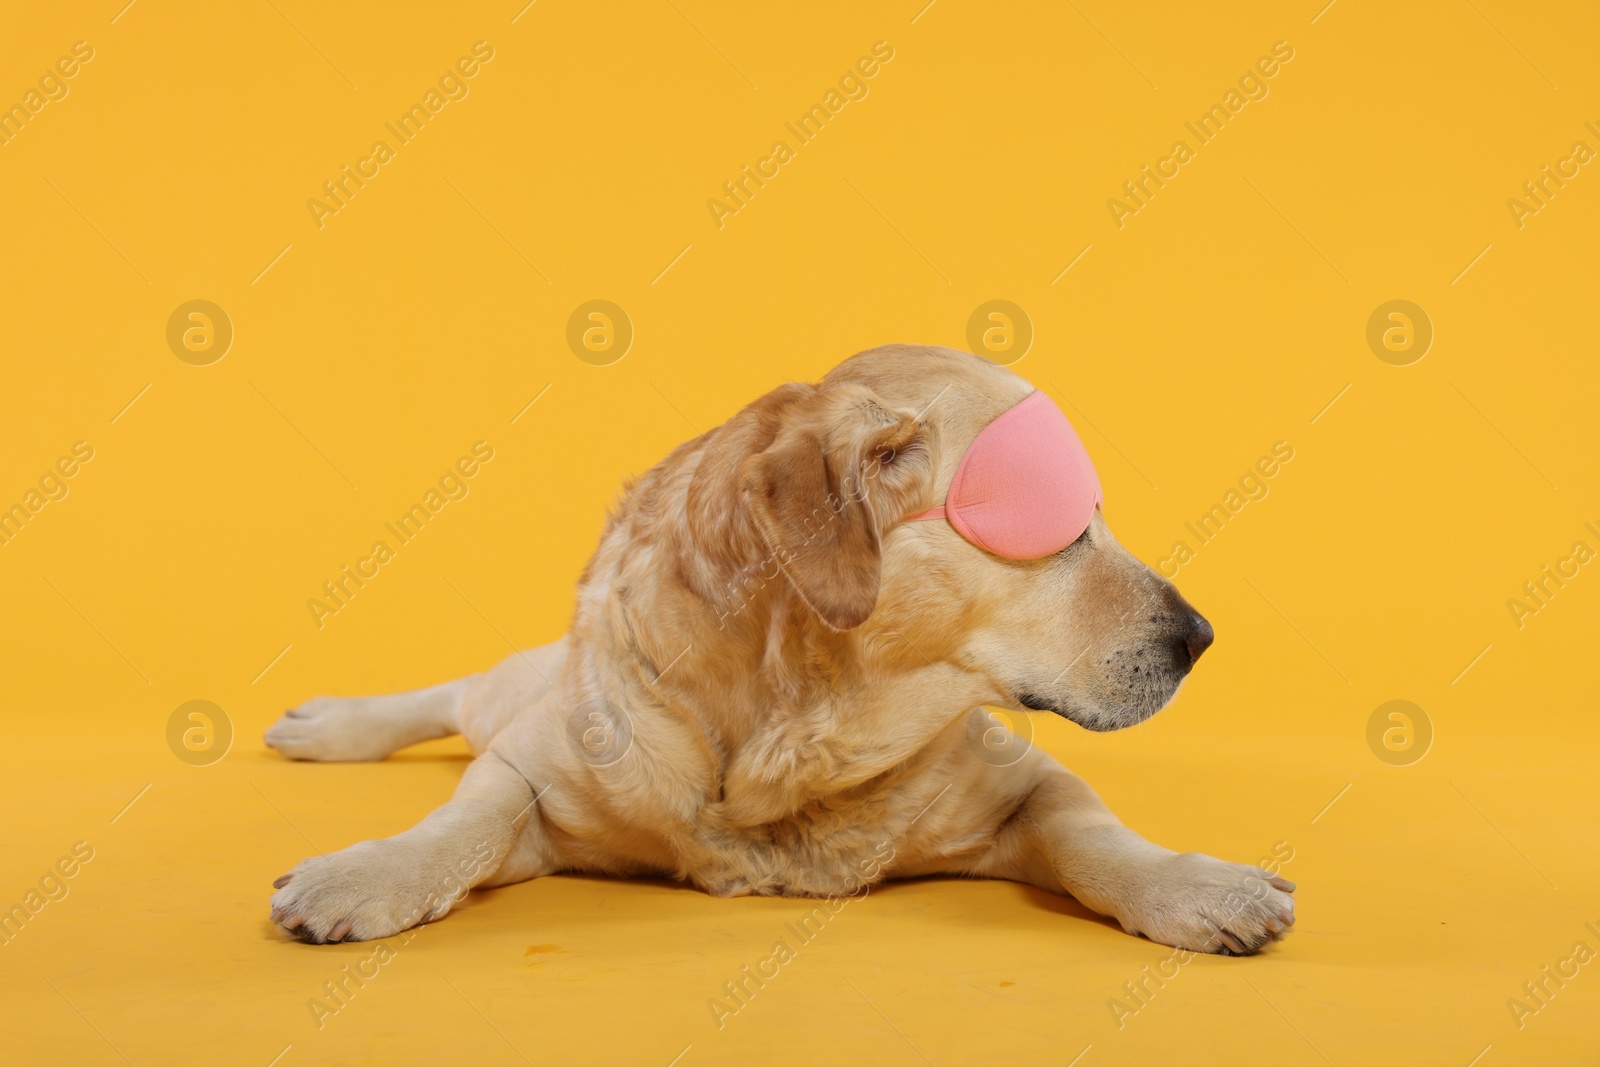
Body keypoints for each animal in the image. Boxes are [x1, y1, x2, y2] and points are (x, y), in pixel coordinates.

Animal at [259, 347, 1286, 953]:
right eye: (1066, 528)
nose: (1201, 636)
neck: (793, 737)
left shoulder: (1020, 780)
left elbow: (1094, 833)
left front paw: (1197, 885)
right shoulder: (541, 763)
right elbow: (463, 823)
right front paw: (369, 873)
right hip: (526, 691)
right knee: (461, 692)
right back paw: (329, 725)